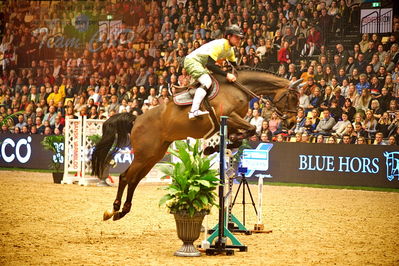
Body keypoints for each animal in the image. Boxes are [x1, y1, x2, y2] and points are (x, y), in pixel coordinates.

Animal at [91, 66, 300, 220]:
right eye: (293, 97)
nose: (291, 123)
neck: (238, 88)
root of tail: (136, 119)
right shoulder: (229, 117)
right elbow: (251, 129)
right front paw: (216, 146)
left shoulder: (231, 122)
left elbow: (246, 133)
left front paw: (218, 146)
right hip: (144, 155)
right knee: (125, 177)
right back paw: (114, 209)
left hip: (153, 156)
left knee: (134, 179)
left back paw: (122, 210)